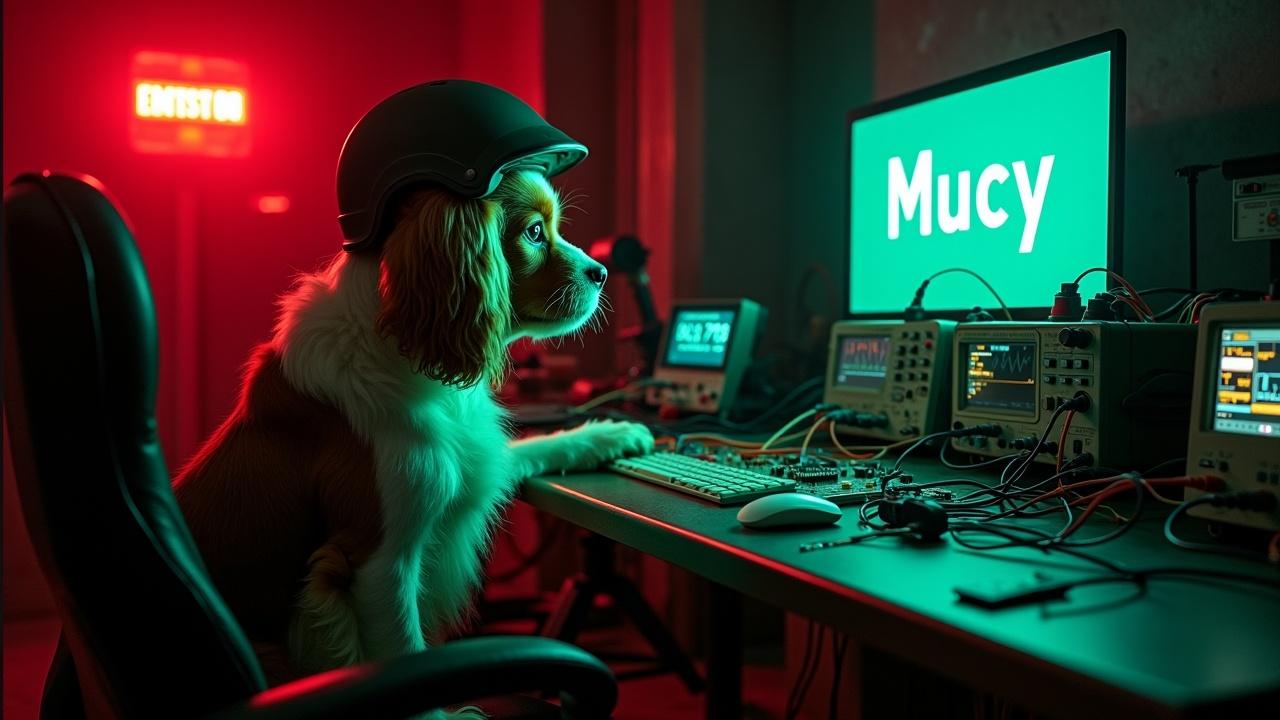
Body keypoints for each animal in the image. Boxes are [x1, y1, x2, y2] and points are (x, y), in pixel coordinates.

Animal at [172, 166, 650, 676]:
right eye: (536, 232)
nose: (601, 273)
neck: (403, 353)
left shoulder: (472, 460)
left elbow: (529, 449)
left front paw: (614, 434)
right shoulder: (378, 564)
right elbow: (403, 645)